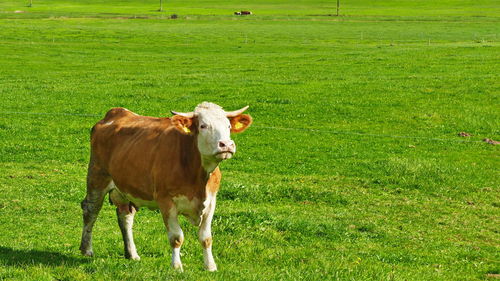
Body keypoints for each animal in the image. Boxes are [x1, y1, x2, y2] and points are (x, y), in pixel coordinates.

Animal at [79, 101, 252, 270]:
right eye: (203, 125)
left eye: (228, 126)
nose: (226, 145)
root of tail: (116, 112)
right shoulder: (166, 201)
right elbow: (176, 237)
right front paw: (176, 267)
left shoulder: (211, 201)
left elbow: (206, 237)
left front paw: (210, 266)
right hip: (97, 177)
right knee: (91, 210)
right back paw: (87, 249)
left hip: (124, 188)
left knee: (125, 216)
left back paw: (132, 253)